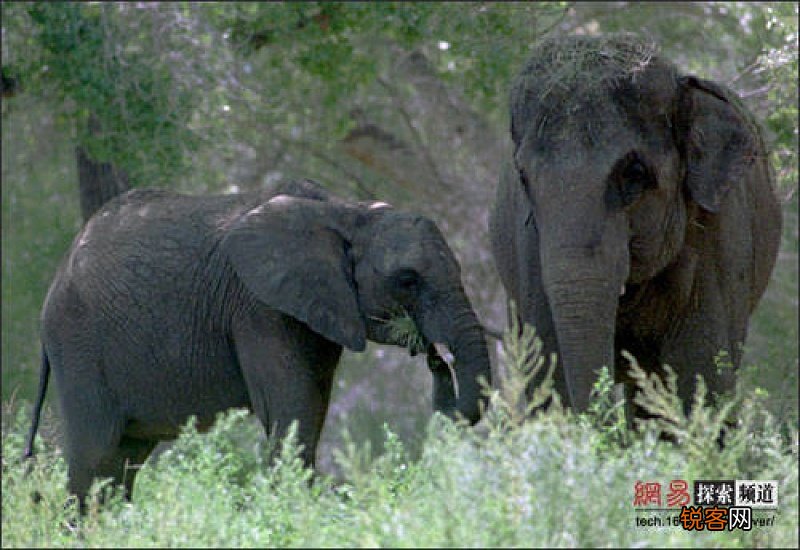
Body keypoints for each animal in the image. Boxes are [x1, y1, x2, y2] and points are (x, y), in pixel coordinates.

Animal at [25, 178, 491, 510]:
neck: (347, 211)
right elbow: (293, 410)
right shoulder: (258, 306)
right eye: (407, 280)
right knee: (96, 458)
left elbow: (311, 409)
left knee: (124, 460)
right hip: (79, 342)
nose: (433, 354)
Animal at [489, 34, 782, 419]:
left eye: (635, 174)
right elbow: (548, 373)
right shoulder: (531, 255)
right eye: (524, 178)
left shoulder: (719, 239)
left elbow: (701, 379)